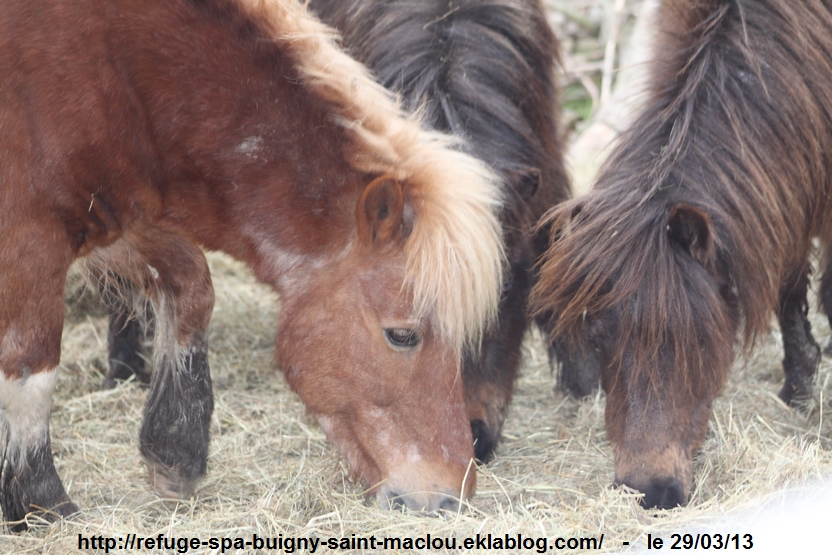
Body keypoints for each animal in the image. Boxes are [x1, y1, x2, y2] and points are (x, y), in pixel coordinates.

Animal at [1, 0, 508, 528]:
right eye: (403, 335)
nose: (451, 497)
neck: (116, 67)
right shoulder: (31, 234)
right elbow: (31, 364)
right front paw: (40, 501)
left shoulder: (111, 218)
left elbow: (192, 287)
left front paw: (175, 452)